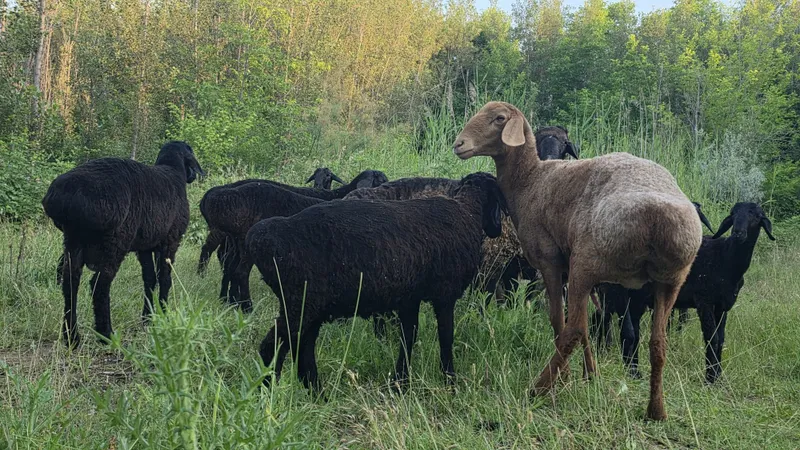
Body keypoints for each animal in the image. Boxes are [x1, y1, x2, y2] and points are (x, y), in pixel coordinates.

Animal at [43, 141, 204, 347]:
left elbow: (149, 278)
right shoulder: (171, 240)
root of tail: (66, 198)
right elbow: (165, 278)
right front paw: (163, 314)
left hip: (74, 241)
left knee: (70, 283)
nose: (192, 176)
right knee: (99, 285)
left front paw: (148, 317)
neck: (173, 171)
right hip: (116, 241)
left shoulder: (144, 247)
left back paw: (72, 337)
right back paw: (106, 335)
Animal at [247, 172, 507, 392]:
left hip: (308, 305)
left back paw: (317, 394)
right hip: (300, 302)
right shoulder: (445, 294)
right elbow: (446, 336)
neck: (467, 213)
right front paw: (449, 380)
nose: (497, 230)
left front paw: (400, 381)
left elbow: (408, 337)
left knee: (303, 349)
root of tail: (263, 238)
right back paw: (267, 393)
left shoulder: (409, 299)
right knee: (273, 346)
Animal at [453, 101, 702, 421]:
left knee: (573, 329)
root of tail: (658, 219)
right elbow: (580, 325)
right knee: (657, 342)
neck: (530, 180)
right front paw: (588, 374)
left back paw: (538, 389)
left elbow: (558, 320)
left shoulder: (550, 261)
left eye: (499, 118)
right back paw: (656, 410)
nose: (459, 144)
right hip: (670, 279)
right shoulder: (569, 270)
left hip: (589, 261)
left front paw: (568, 377)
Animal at [597, 203, 773, 382]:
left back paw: (634, 370)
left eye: (756, 216)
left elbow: (721, 340)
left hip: (636, 299)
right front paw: (710, 379)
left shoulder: (722, 307)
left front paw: (718, 377)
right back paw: (628, 369)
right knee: (623, 330)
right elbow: (712, 338)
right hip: (617, 292)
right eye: (733, 214)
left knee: (632, 330)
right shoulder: (704, 301)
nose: (738, 233)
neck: (725, 258)